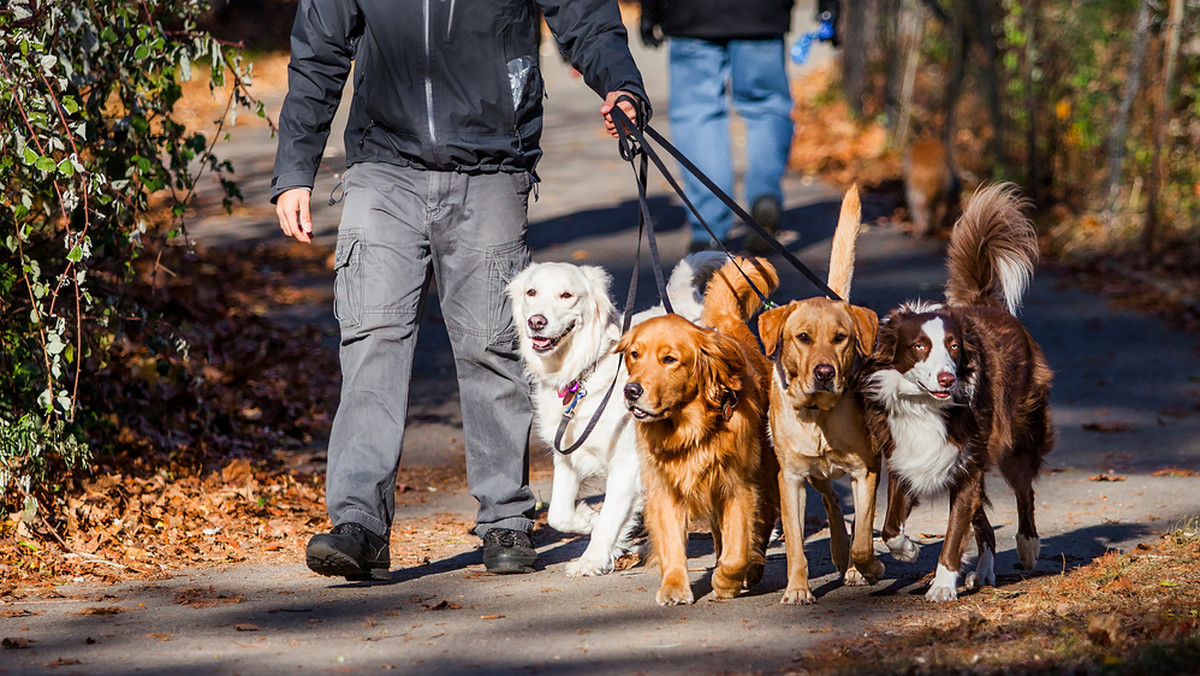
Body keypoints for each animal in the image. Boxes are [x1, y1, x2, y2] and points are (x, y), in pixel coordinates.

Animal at [506, 252, 720, 576]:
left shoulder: (627, 464)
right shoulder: (568, 455)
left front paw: (590, 560)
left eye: (566, 295)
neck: (584, 372)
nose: (537, 322)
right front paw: (588, 519)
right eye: (531, 292)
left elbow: (609, 520)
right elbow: (559, 514)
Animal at [614, 256, 782, 605]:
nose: (631, 391)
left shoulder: (738, 486)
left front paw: (727, 581)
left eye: (669, 359)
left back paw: (753, 568)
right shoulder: (665, 489)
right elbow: (672, 542)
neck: (688, 428)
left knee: (761, 524)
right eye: (634, 354)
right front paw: (674, 586)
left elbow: (737, 549)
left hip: (765, 473)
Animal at [758, 186, 883, 607]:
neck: (818, 415)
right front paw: (798, 587)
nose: (825, 373)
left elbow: (865, 534)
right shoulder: (791, 479)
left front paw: (868, 567)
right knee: (831, 501)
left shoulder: (867, 470)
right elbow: (796, 544)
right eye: (803, 338)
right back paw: (838, 551)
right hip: (815, 477)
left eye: (840, 338)